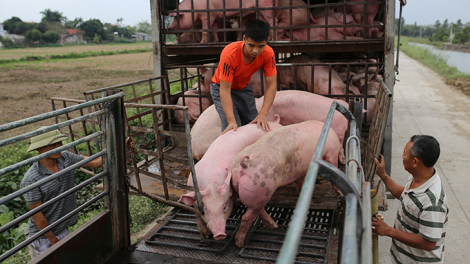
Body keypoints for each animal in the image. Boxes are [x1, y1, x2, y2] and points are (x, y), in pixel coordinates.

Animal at [230, 120, 342, 248]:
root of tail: (245, 163)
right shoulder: (332, 151)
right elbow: (333, 166)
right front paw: (339, 193)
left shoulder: (303, 168)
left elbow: (301, 181)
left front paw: (301, 190)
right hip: (260, 187)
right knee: (246, 217)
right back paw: (240, 243)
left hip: (256, 193)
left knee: (257, 210)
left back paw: (274, 225)